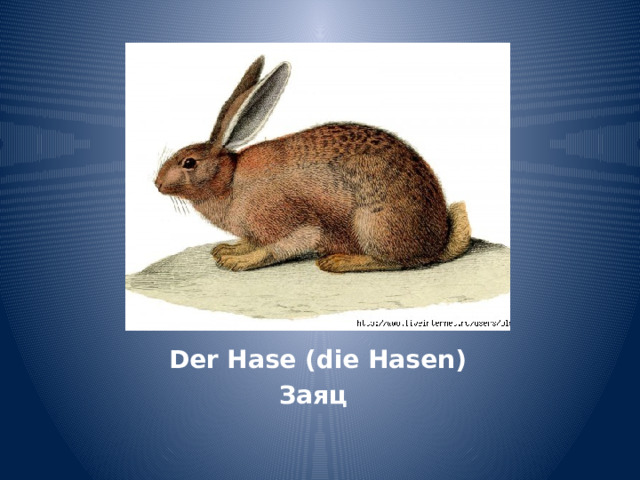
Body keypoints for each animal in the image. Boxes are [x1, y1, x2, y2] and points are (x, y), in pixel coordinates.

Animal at [155, 56, 471, 273]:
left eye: (189, 162)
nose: (157, 184)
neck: (230, 181)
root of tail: (439, 240)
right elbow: (253, 242)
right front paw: (226, 250)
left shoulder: (295, 224)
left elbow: (274, 249)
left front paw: (237, 261)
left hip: (373, 225)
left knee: (395, 262)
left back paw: (338, 262)